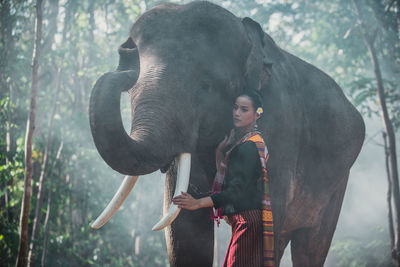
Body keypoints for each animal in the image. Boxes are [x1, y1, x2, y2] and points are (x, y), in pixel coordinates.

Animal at [88, 1, 366, 266]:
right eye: (134, 85)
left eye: (206, 86)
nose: (125, 58)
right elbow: (184, 232)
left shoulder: (281, 128)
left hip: (338, 183)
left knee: (310, 245)